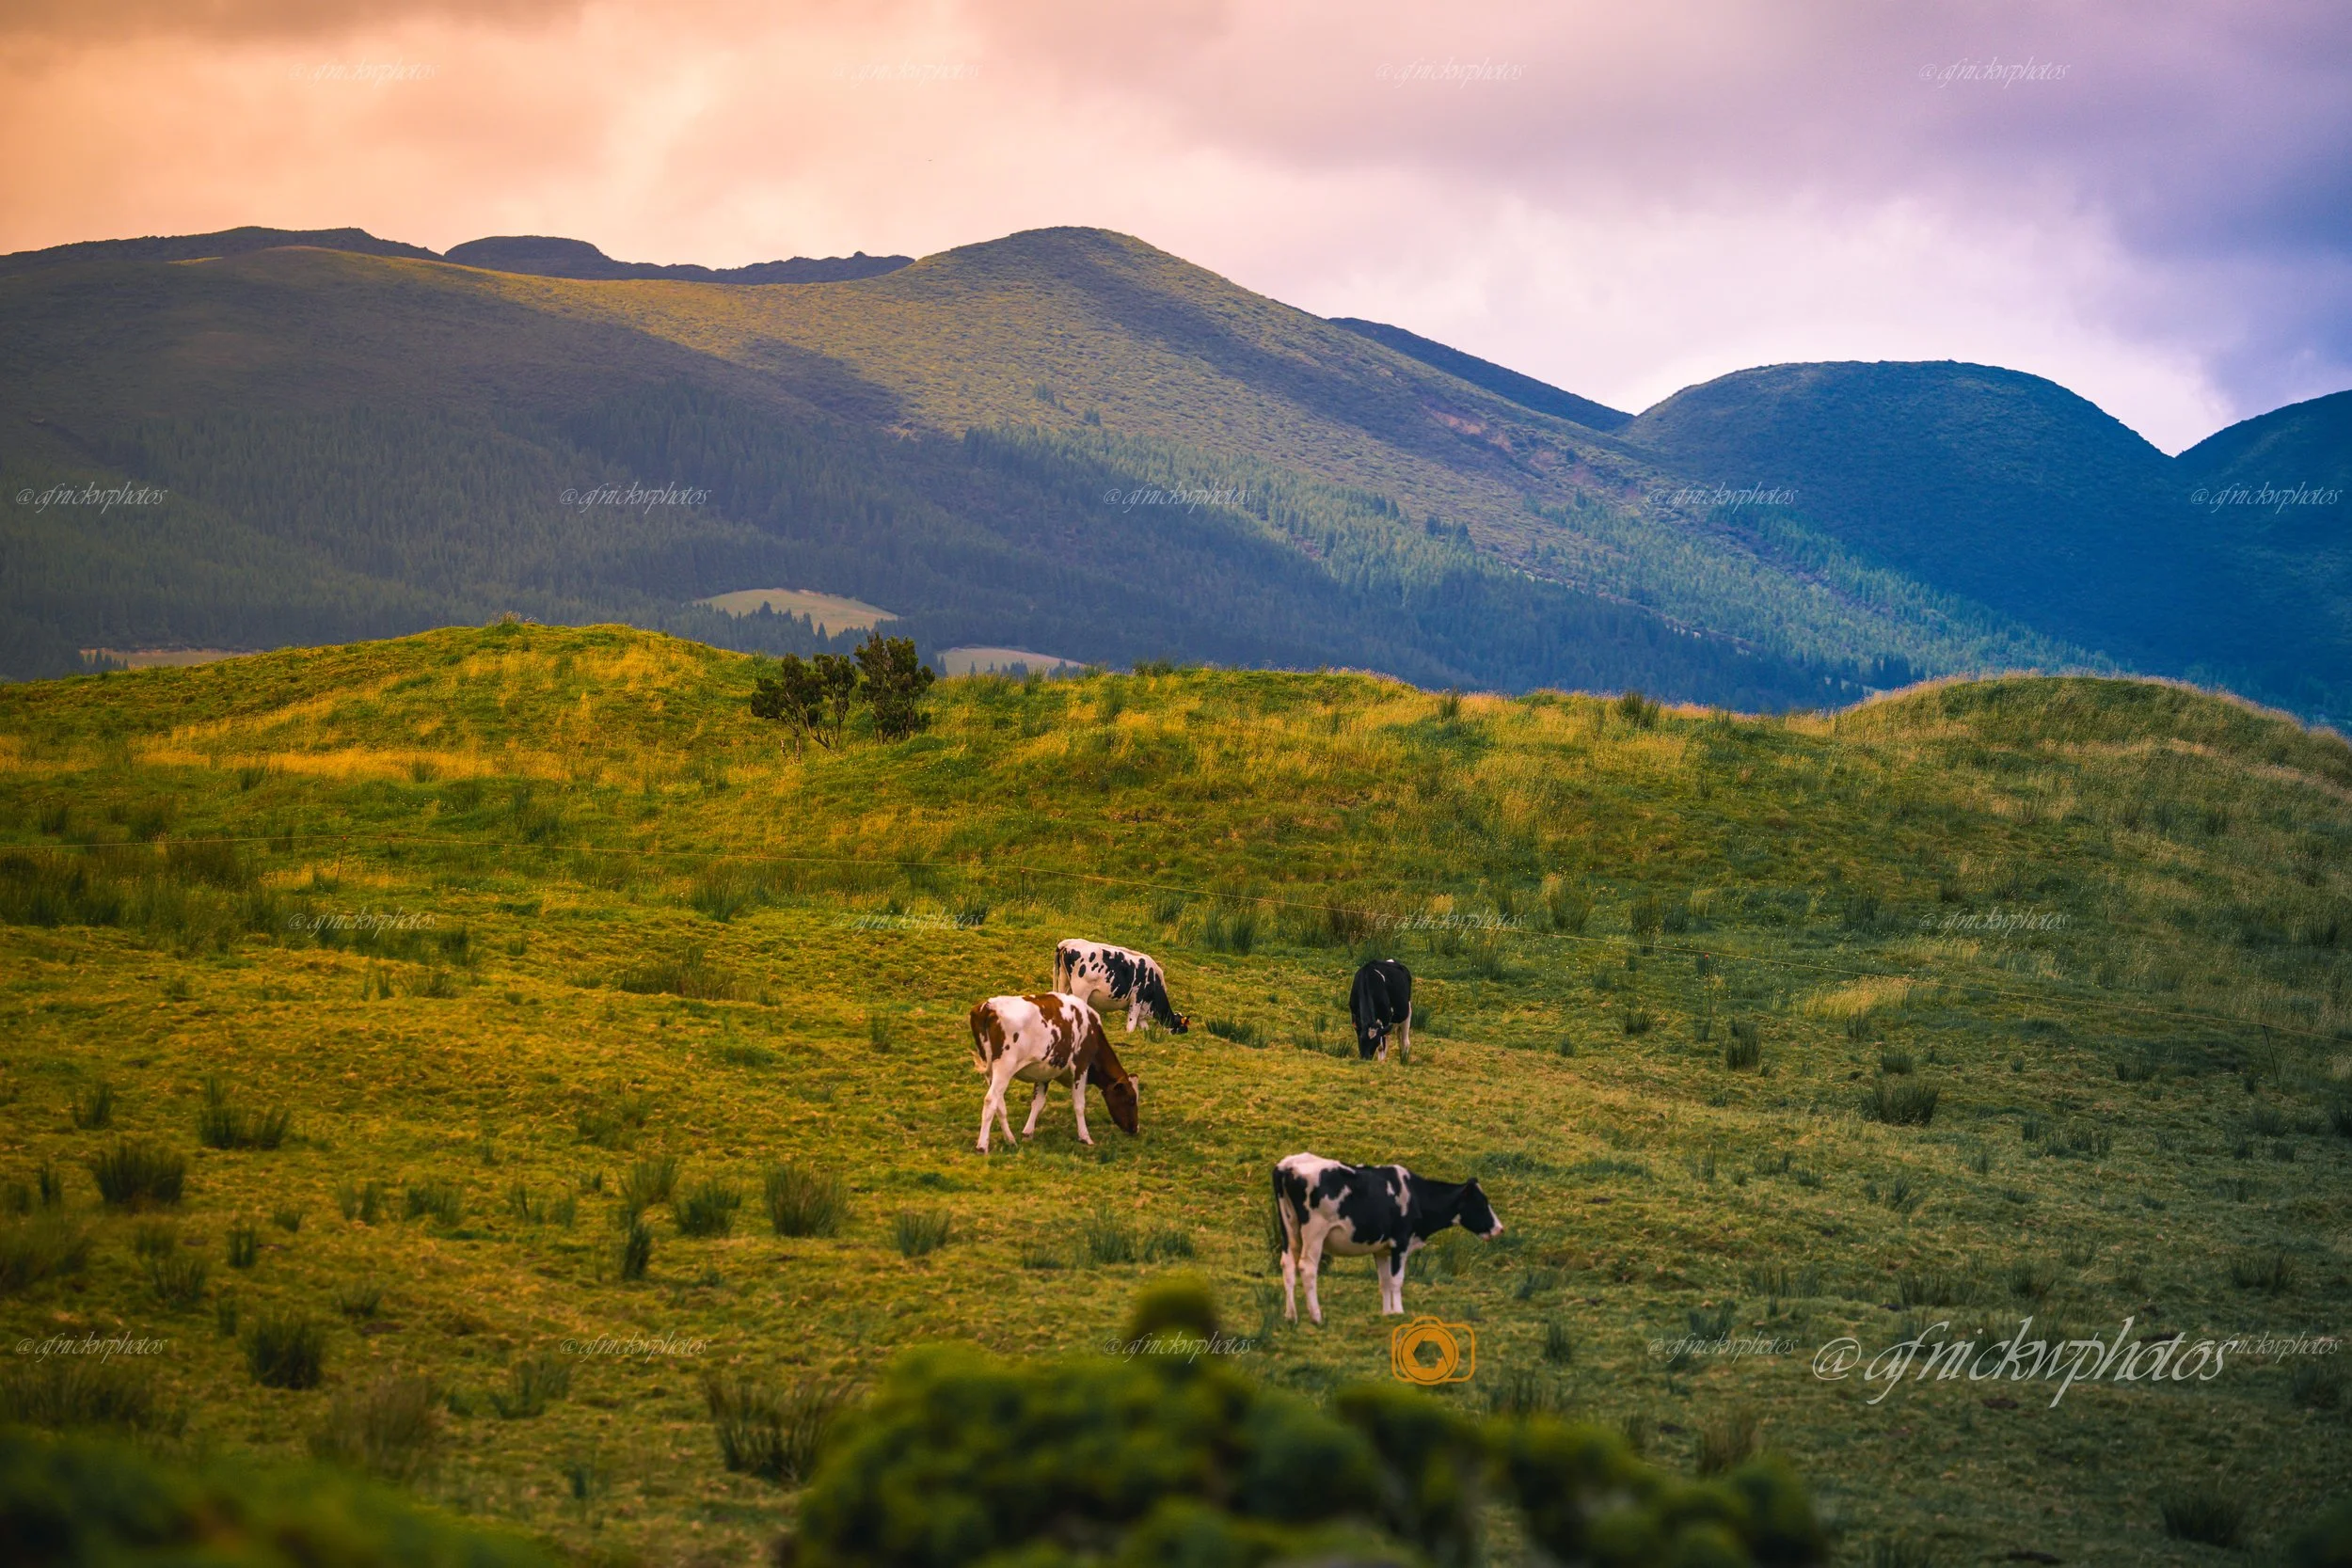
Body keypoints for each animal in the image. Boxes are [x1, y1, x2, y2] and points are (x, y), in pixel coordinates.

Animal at [967, 992, 1141, 1154]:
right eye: (1131, 1100)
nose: (1135, 1129)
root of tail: (988, 1006)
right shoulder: (1081, 1065)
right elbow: (1079, 1104)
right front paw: (1085, 1137)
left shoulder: (1043, 1072)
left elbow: (1037, 1103)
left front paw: (1027, 1133)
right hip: (1004, 1068)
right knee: (991, 1100)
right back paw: (982, 1146)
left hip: (992, 1072)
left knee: (1000, 1104)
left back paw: (1010, 1139)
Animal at [1053, 939, 1190, 1034]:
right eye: (1181, 1029)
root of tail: (1071, 943)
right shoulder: (1137, 1000)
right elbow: (1131, 1025)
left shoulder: (1142, 1014)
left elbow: (1144, 1028)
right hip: (1081, 991)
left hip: (1063, 982)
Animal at [1272, 1153, 1503, 1325]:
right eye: (1482, 1202)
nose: (1500, 1229)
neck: (1416, 1195)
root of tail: (1287, 1165)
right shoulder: (1401, 1242)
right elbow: (1396, 1280)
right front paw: (1399, 1312)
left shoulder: (1381, 1249)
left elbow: (1384, 1281)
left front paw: (1387, 1313)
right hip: (1315, 1232)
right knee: (1307, 1268)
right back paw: (1316, 1316)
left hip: (1288, 1229)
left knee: (1288, 1265)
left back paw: (1290, 1316)